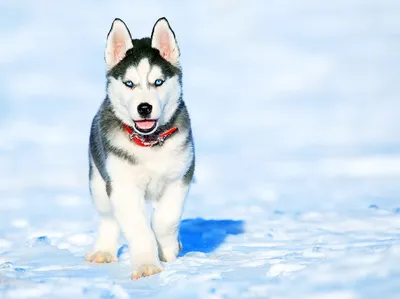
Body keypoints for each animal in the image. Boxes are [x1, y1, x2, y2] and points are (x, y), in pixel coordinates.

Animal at [86, 17, 195, 282]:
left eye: (158, 82)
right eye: (129, 83)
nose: (144, 107)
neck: (149, 144)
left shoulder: (180, 177)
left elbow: (165, 220)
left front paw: (168, 249)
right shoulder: (122, 186)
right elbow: (138, 227)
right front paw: (147, 265)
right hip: (98, 181)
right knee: (108, 218)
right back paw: (103, 251)